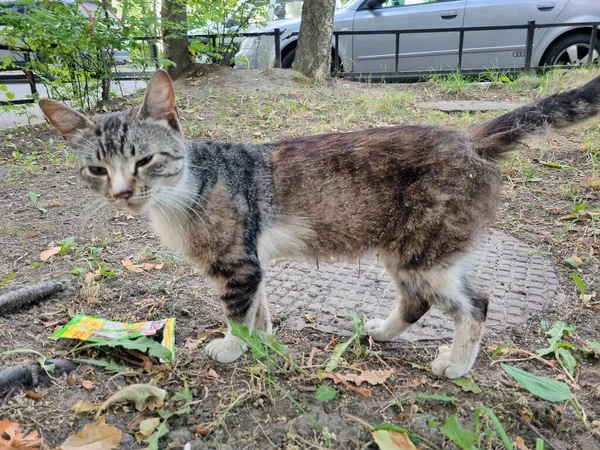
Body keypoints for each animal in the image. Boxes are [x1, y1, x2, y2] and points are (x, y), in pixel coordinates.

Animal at [39, 69, 600, 380]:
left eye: (145, 160)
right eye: (97, 169)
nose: (122, 193)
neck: (184, 191)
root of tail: (468, 137)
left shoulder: (237, 264)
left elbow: (236, 313)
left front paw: (233, 347)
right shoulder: (252, 263)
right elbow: (259, 308)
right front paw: (262, 340)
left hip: (426, 253)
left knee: (476, 304)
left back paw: (457, 365)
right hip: (406, 252)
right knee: (417, 302)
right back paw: (382, 332)